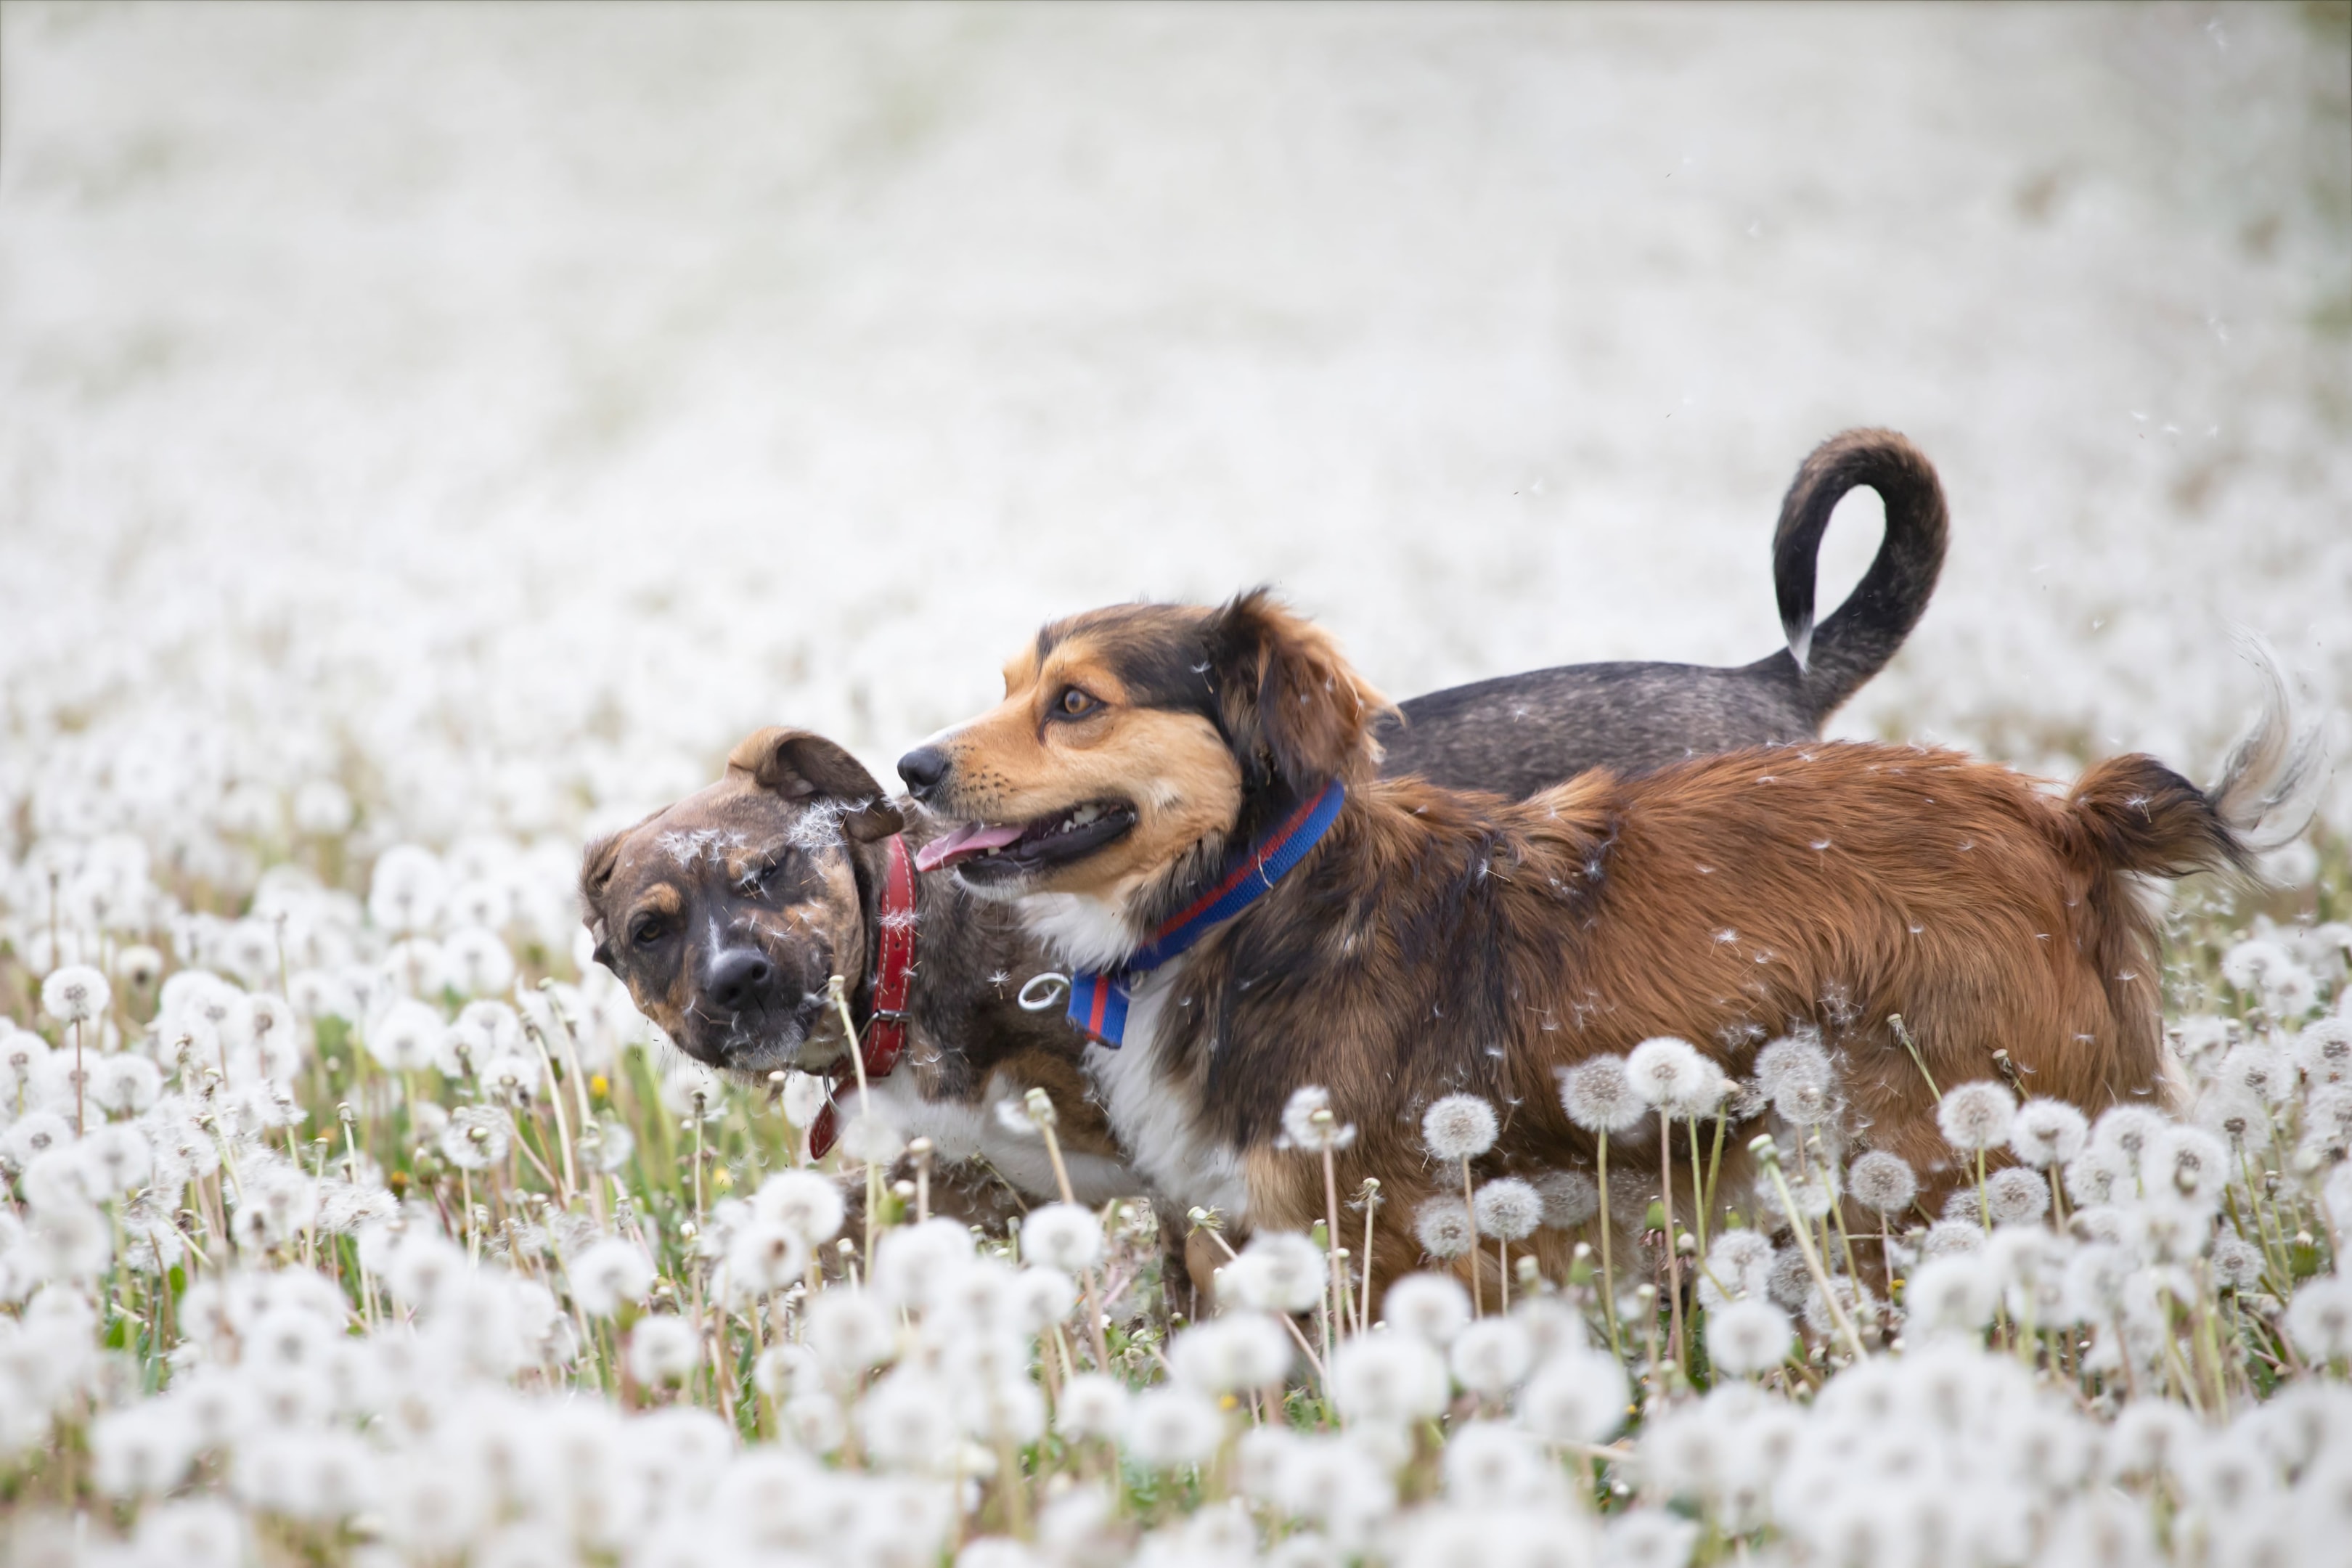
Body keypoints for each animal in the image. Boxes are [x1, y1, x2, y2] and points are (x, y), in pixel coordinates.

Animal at [894, 592, 2314, 1297]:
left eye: (1077, 704)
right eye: (1013, 691)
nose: (910, 769)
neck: (1255, 895)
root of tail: (2062, 815)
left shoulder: (1391, 1237)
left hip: (1934, 1166)